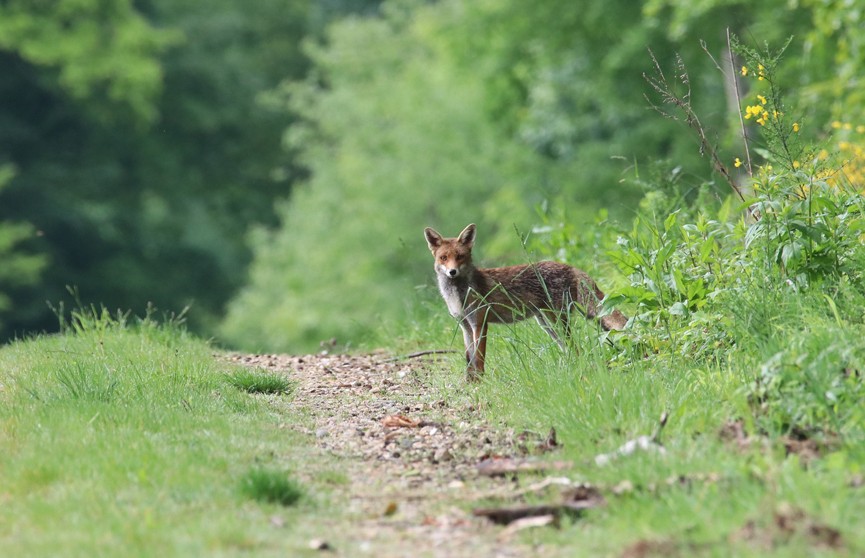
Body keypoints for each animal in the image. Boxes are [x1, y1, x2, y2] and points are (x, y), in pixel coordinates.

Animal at [422, 223, 624, 380]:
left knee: (576, 347)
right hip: (547, 324)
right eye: (443, 258)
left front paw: (480, 382)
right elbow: (469, 359)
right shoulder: (465, 326)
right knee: (571, 348)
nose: (452, 272)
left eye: (460, 257)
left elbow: (479, 358)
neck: (458, 295)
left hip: (556, 321)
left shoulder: (480, 323)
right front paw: (470, 382)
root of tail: (570, 267)